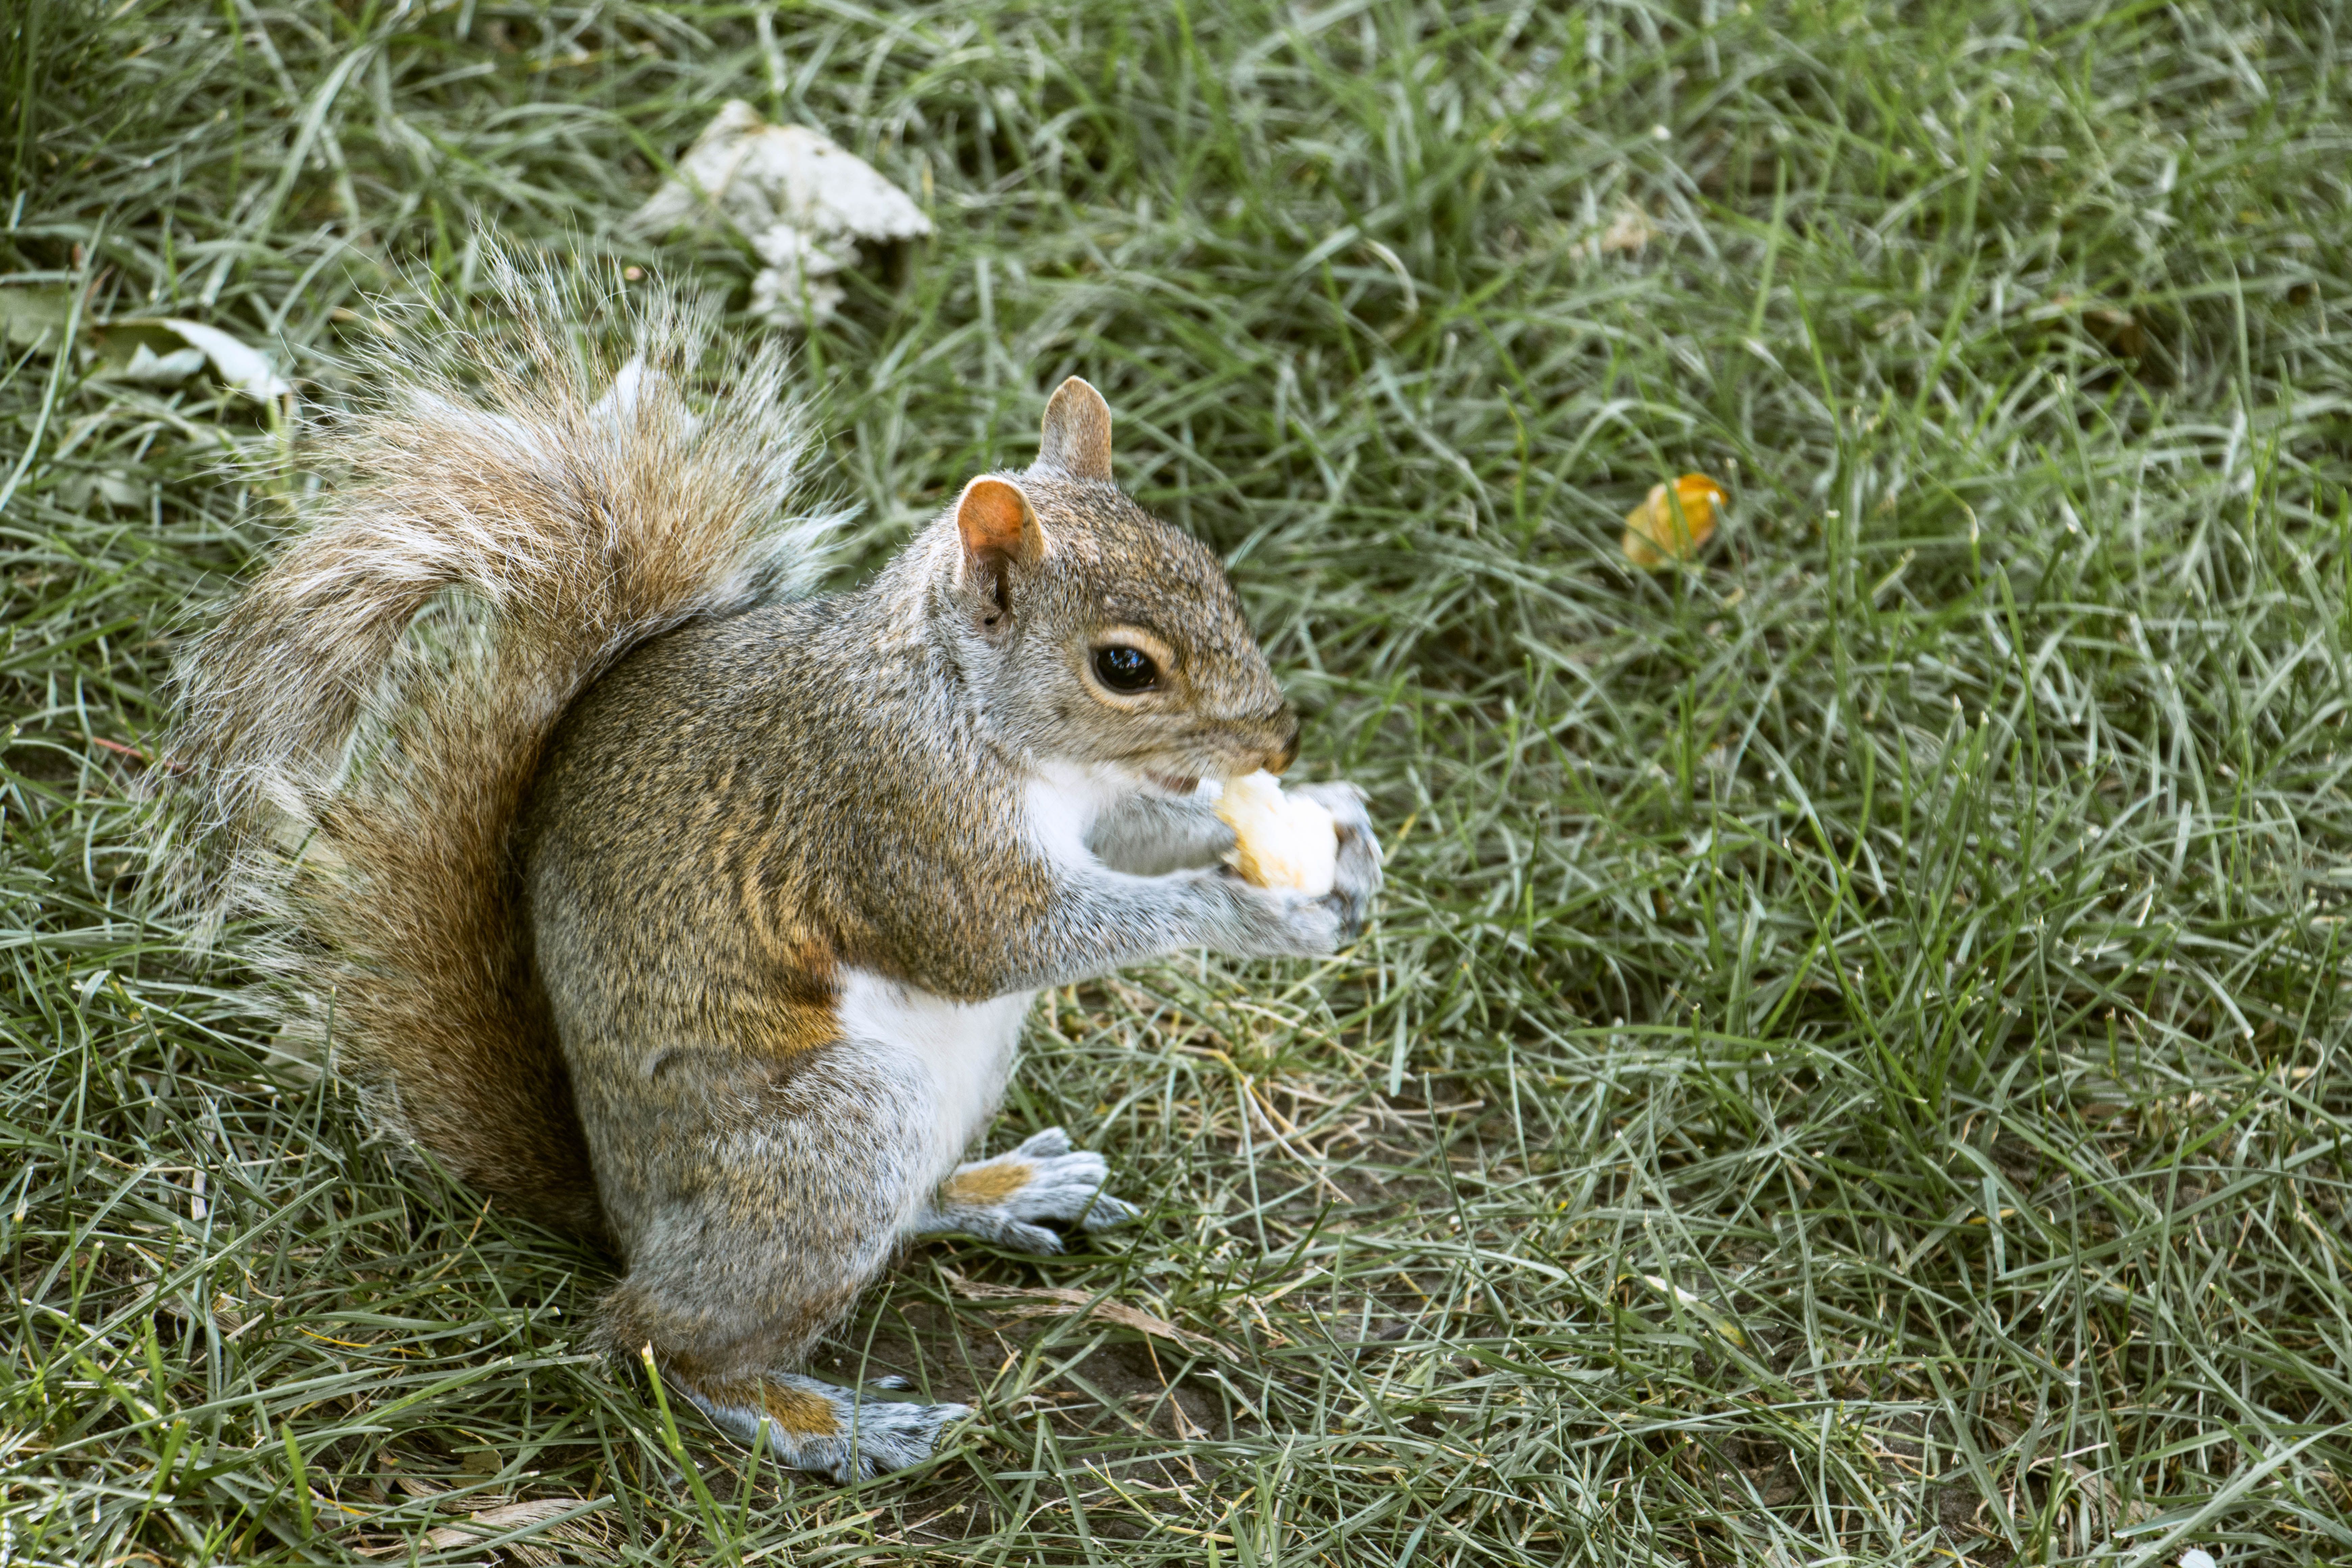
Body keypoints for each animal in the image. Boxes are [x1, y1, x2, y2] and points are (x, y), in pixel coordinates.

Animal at [164, 260, 1383, 1482]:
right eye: (1125, 665)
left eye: (1211, 567)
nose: (1279, 742)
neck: (974, 712)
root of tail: (621, 1216)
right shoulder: (899, 824)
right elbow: (999, 942)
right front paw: (1249, 911)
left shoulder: (1088, 814)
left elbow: (1138, 836)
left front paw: (1336, 830)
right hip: (832, 1140)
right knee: (655, 1342)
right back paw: (823, 1421)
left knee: (884, 1224)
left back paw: (998, 1190)